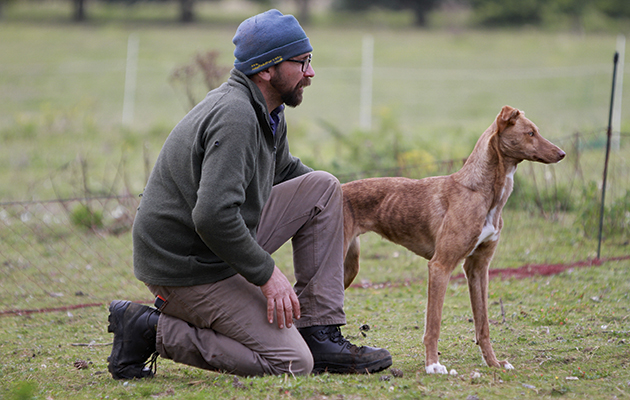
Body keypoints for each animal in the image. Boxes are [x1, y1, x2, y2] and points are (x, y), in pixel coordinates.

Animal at [344, 104, 572, 374]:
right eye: (530, 133)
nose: (562, 153)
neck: (480, 191)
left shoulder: (478, 268)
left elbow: (483, 325)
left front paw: (493, 362)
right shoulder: (440, 266)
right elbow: (433, 325)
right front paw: (433, 365)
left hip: (350, 267)